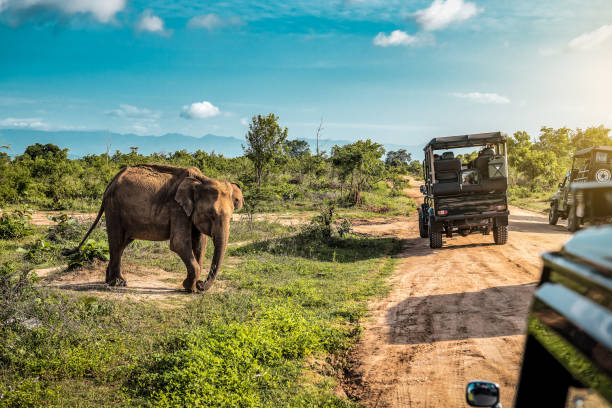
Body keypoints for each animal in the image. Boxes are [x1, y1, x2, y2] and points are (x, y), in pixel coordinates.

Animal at [71, 164, 244, 292]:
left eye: (231, 216)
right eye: (211, 215)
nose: (202, 284)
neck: (201, 180)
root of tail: (110, 184)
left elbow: (200, 244)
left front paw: (193, 288)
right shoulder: (177, 208)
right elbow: (179, 243)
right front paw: (189, 287)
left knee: (122, 244)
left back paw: (111, 281)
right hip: (114, 208)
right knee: (116, 241)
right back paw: (117, 284)